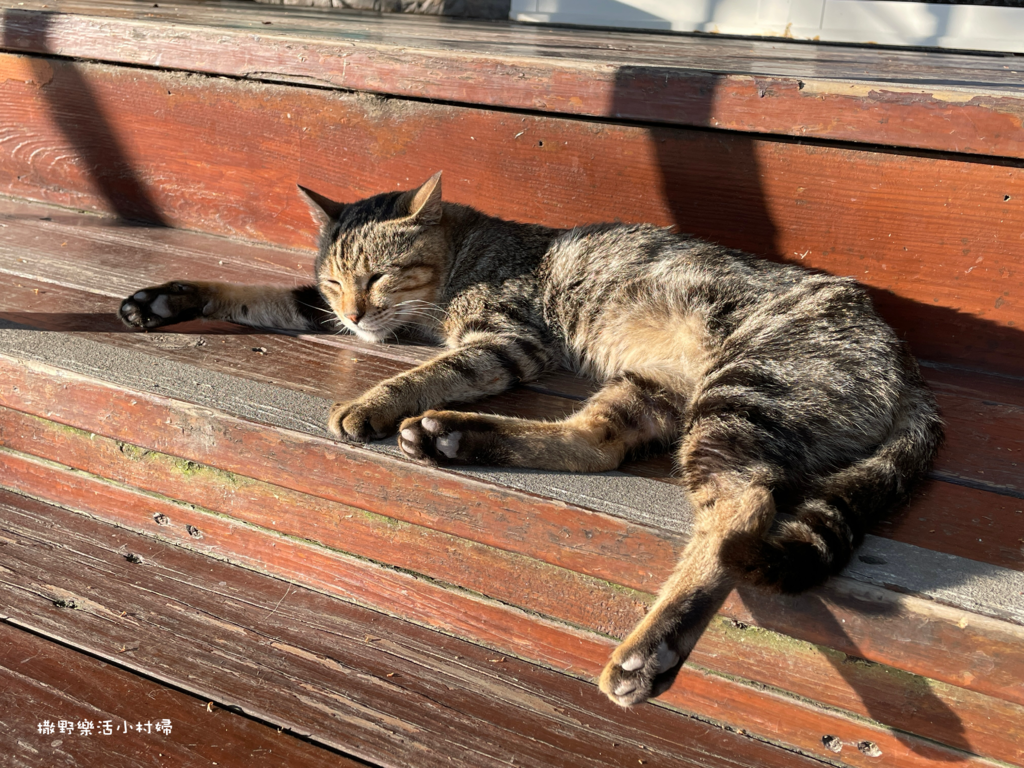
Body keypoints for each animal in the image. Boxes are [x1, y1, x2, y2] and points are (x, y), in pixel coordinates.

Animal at [119, 174, 942, 708]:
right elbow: (257, 294)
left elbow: (431, 370)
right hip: (653, 388)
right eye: (334, 282)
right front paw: (167, 297)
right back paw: (455, 438)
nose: (352, 314)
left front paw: (373, 401)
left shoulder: (502, 340)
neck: (462, 255)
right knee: (595, 441)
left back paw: (651, 650)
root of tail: (909, 366)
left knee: (739, 510)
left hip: (739, 397)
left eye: (381, 276)